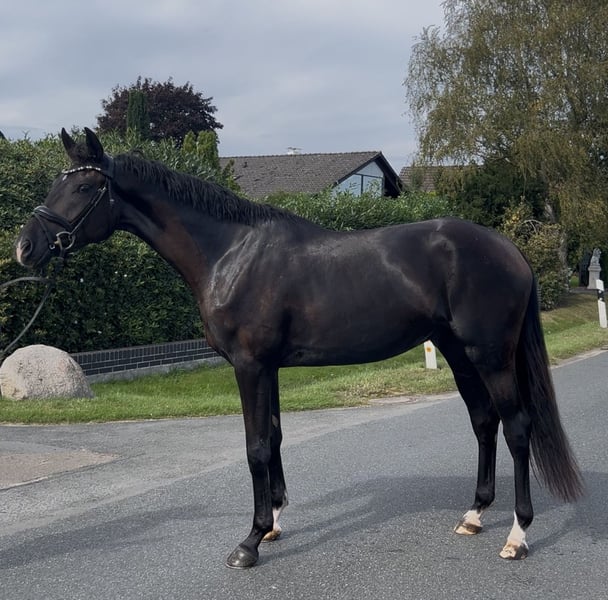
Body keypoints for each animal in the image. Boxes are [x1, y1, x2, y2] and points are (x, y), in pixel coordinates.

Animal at [14, 128, 583, 568]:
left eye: (84, 186)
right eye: (55, 183)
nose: (25, 247)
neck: (231, 253)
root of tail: (510, 250)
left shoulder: (249, 366)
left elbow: (255, 448)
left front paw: (248, 542)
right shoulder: (269, 368)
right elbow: (275, 438)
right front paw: (272, 524)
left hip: (490, 355)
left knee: (516, 428)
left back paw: (517, 535)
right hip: (459, 352)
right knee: (484, 422)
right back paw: (473, 516)